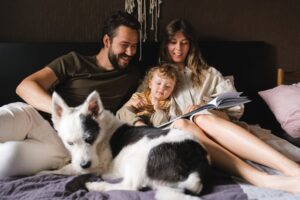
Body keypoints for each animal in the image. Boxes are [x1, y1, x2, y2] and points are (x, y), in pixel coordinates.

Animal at [51, 91, 210, 199]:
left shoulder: (99, 164)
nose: (84, 165)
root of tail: (198, 162)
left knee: (130, 186)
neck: (103, 131)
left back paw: (96, 185)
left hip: (139, 158)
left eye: (89, 139)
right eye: (69, 143)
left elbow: (66, 170)